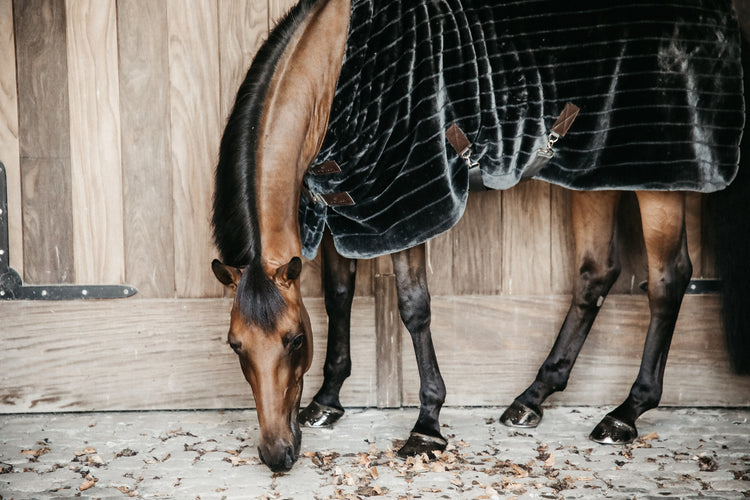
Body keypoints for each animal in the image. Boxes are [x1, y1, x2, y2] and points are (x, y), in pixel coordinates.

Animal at [209, 0, 748, 472]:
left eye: (294, 340)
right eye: (235, 346)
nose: (276, 454)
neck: (337, 65)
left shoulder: (404, 206)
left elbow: (414, 309)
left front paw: (426, 426)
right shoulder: (345, 207)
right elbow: (338, 295)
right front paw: (327, 400)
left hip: (659, 177)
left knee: (667, 282)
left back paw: (626, 412)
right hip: (593, 173)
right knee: (596, 273)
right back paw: (533, 397)